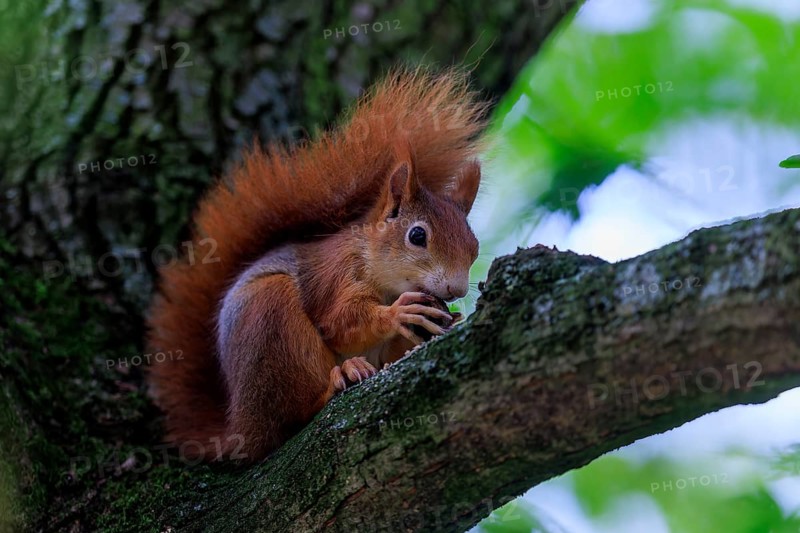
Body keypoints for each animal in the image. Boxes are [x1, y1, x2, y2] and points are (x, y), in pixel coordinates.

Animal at [145, 67, 488, 461]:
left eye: (474, 246)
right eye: (417, 236)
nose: (456, 289)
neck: (379, 270)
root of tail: (240, 425)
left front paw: (449, 320)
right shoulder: (335, 276)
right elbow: (339, 322)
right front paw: (398, 314)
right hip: (269, 319)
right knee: (292, 415)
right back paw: (339, 379)